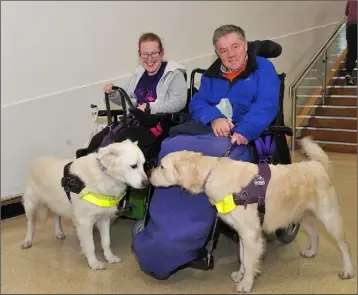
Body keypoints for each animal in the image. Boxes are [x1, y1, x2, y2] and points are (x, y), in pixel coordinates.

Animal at [21, 140, 148, 270]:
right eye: (133, 166)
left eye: (144, 165)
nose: (147, 183)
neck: (105, 175)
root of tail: (37, 160)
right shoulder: (85, 222)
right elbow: (90, 246)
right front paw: (94, 263)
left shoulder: (104, 219)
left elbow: (106, 242)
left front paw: (109, 257)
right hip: (31, 205)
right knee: (31, 223)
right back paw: (28, 240)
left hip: (56, 203)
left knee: (56, 216)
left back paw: (59, 232)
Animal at [150, 138, 354, 294]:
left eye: (162, 166)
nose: (149, 172)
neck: (213, 172)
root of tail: (317, 164)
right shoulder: (242, 233)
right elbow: (242, 257)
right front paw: (240, 275)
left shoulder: (250, 234)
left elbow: (249, 261)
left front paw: (246, 284)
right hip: (302, 216)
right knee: (315, 233)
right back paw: (311, 252)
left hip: (329, 217)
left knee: (344, 245)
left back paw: (348, 270)